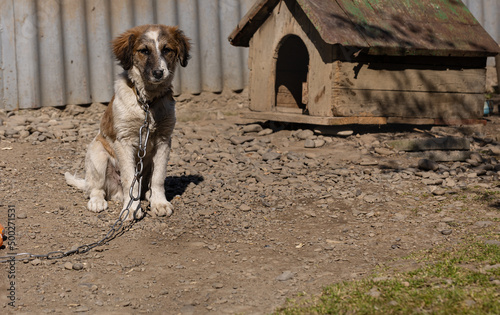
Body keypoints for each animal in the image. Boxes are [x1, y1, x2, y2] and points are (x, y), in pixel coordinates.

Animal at [65, 24, 190, 220]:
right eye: (144, 51)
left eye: (167, 50)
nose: (158, 73)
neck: (147, 103)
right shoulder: (123, 142)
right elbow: (130, 179)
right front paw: (131, 209)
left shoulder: (164, 140)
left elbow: (158, 177)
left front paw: (160, 203)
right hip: (97, 154)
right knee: (95, 188)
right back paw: (97, 202)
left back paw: (149, 195)